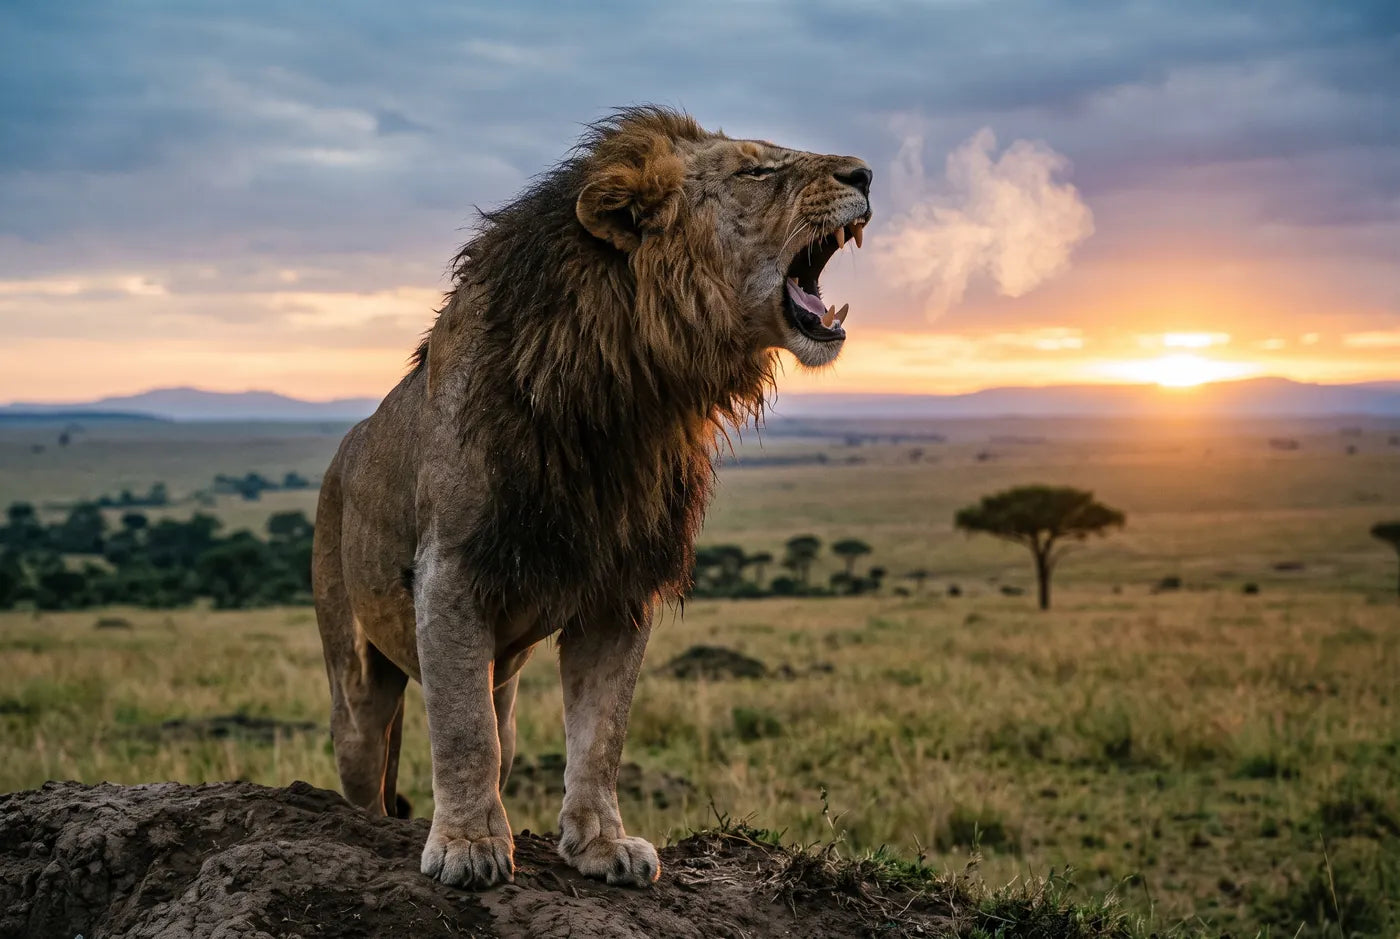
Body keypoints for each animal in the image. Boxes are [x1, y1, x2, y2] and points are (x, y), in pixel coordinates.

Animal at [312, 106, 872, 890]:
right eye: (755, 170)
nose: (866, 174)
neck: (633, 391)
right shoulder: (451, 571)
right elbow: (461, 732)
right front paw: (467, 846)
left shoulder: (621, 586)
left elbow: (601, 732)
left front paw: (602, 844)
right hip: (354, 676)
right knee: (369, 758)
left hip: (505, 686)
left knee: (500, 732)